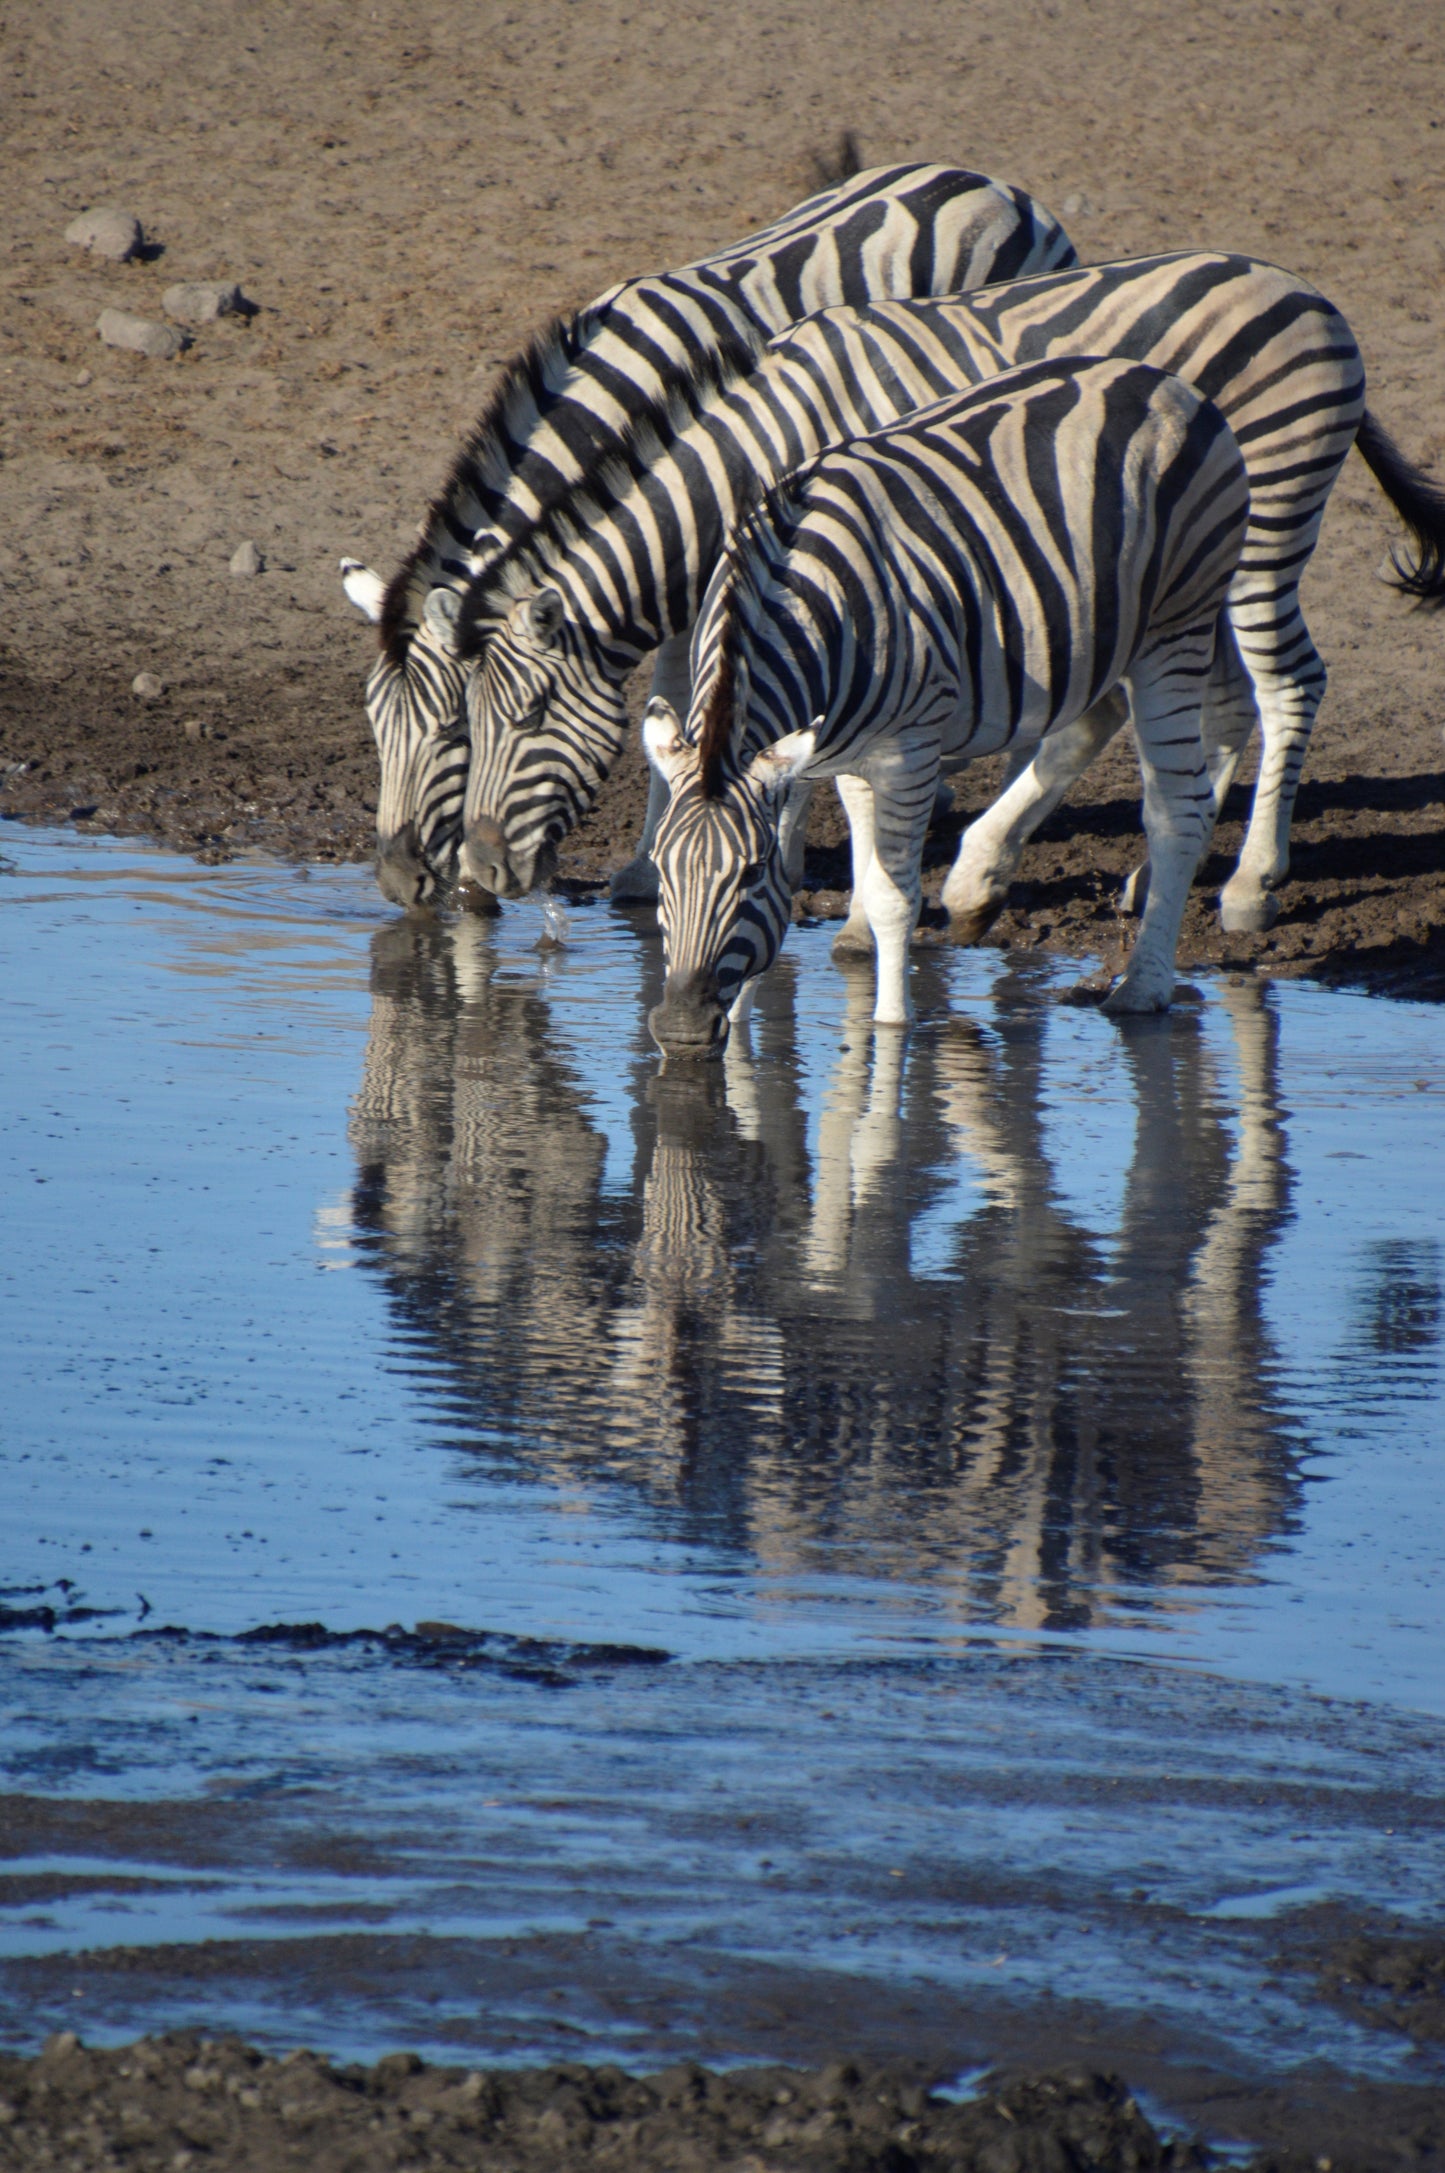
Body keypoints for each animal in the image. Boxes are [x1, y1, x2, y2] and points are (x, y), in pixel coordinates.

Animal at [455, 250, 1445, 936]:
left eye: (531, 714)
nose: (482, 877)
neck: (762, 443)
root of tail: (1307, 292)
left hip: (1264, 527)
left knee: (1289, 684)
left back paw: (1248, 883)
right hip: (1182, 573)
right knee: (1227, 701)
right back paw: (1153, 877)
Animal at [642, 356, 1251, 1048]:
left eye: (748, 873)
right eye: (659, 870)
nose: (682, 1029)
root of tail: (1159, 378)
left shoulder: (907, 748)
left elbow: (891, 898)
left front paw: (890, 1030)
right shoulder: (831, 752)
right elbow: (830, 881)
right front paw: (743, 1034)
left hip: (1176, 626)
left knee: (1178, 809)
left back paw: (1142, 989)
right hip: (1095, 634)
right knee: (1094, 725)